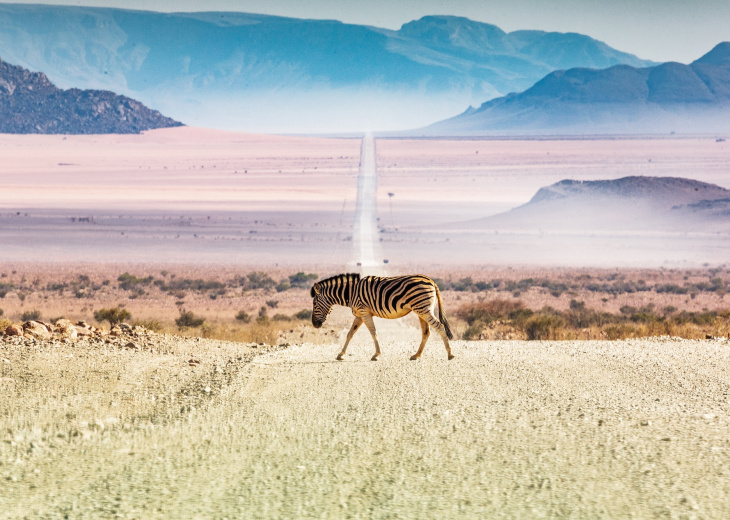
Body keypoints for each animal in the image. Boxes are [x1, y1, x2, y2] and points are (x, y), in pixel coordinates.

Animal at [310, 272, 452, 362]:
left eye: (314, 303)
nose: (315, 324)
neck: (350, 293)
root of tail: (431, 280)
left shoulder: (364, 312)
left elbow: (373, 332)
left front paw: (376, 355)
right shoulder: (359, 315)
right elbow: (350, 334)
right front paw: (340, 355)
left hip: (423, 309)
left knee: (440, 326)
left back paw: (450, 354)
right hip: (421, 310)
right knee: (426, 332)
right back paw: (416, 355)